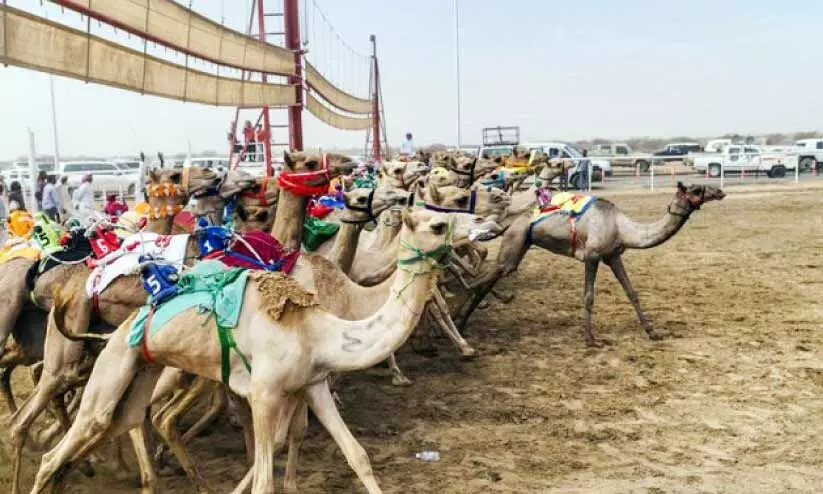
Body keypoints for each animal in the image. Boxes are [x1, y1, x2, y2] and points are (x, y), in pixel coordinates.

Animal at [33, 209, 490, 494]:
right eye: (437, 224)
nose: (486, 226)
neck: (323, 327)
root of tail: (115, 334)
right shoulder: (264, 393)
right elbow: (265, 477)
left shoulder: (314, 385)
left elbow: (357, 456)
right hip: (112, 373)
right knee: (56, 454)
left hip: (134, 382)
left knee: (105, 433)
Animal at [464, 182, 728, 348]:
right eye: (696, 189)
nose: (719, 191)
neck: (622, 228)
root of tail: (508, 222)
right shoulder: (592, 256)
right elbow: (589, 297)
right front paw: (591, 339)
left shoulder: (613, 256)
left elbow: (632, 292)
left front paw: (653, 332)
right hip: (516, 239)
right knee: (482, 280)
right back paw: (463, 323)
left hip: (520, 246)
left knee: (489, 279)